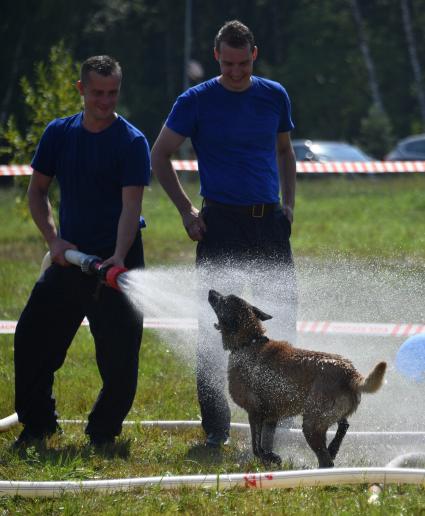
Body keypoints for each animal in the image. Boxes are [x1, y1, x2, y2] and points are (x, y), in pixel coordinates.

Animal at [207, 290, 386, 468]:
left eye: (224, 300)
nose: (211, 291)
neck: (249, 342)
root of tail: (349, 372)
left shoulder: (255, 412)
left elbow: (257, 448)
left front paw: (271, 457)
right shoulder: (271, 418)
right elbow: (266, 443)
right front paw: (270, 459)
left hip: (311, 425)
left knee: (326, 460)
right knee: (344, 426)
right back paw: (333, 448)